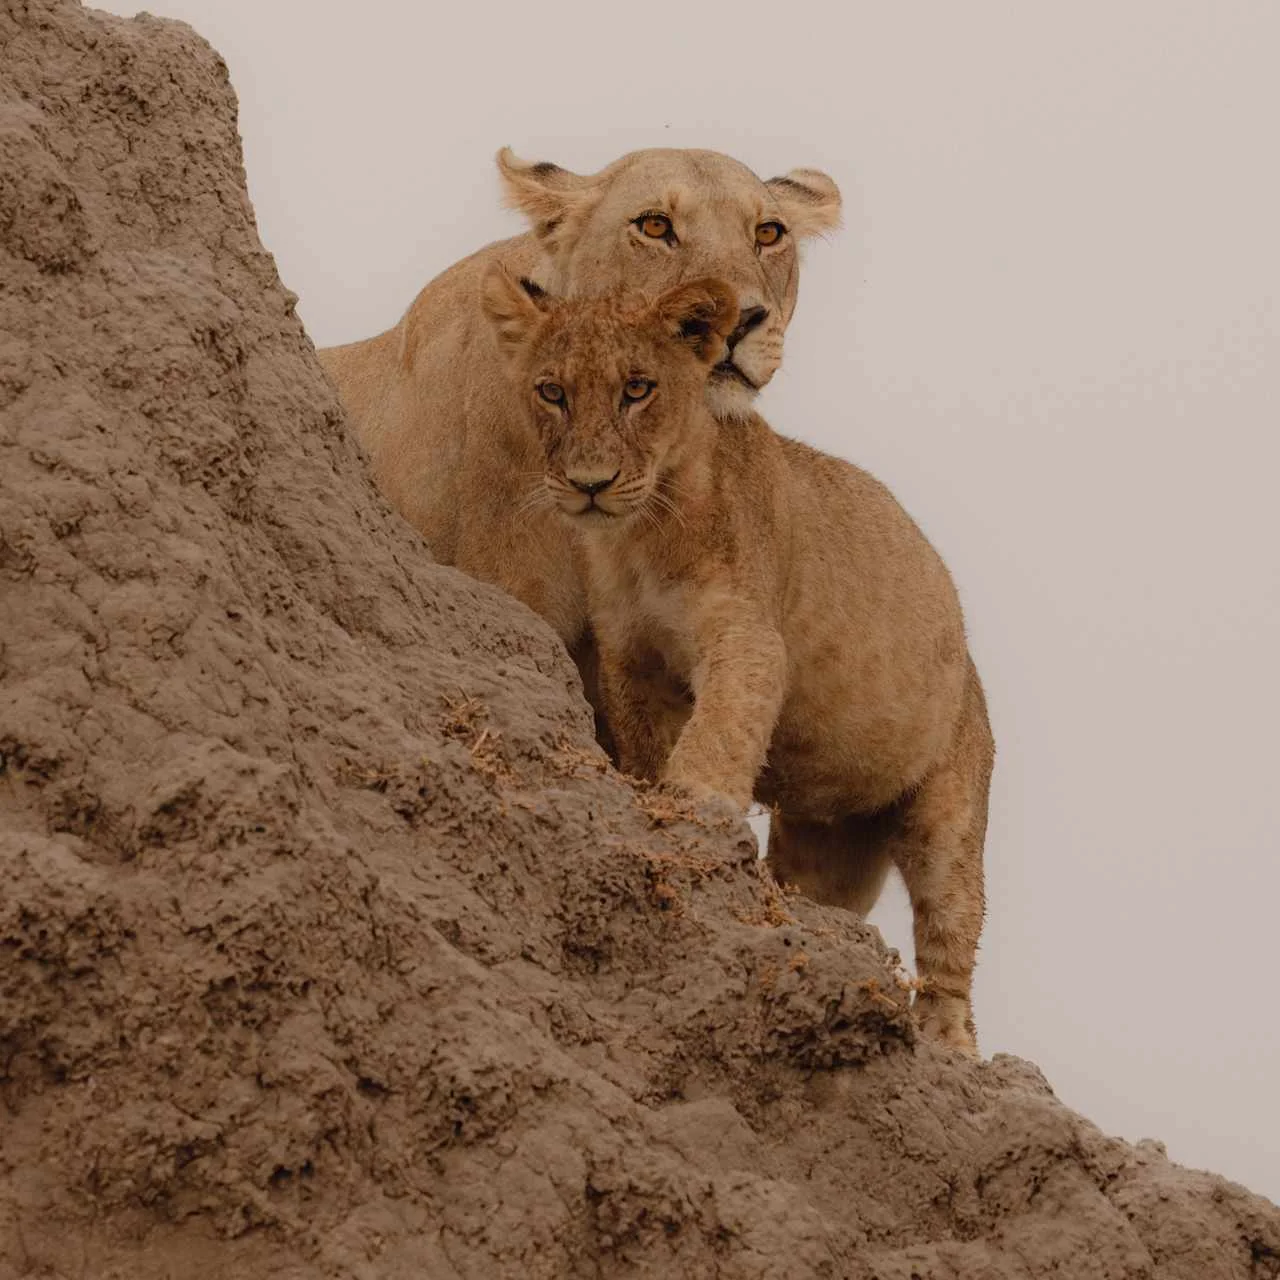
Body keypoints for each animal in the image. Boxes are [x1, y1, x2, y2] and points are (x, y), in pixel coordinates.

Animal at [479, 267, 994, 1053]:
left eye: (638, 389)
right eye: (552, 391)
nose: (591, 483)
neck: (643, 535)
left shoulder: (749, 633)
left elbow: (720, 729)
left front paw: (698, 805)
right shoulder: (631, 658)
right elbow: (647, 746)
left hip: (952, 809)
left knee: (950, 942)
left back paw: (949, 1045)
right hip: (829, 845)